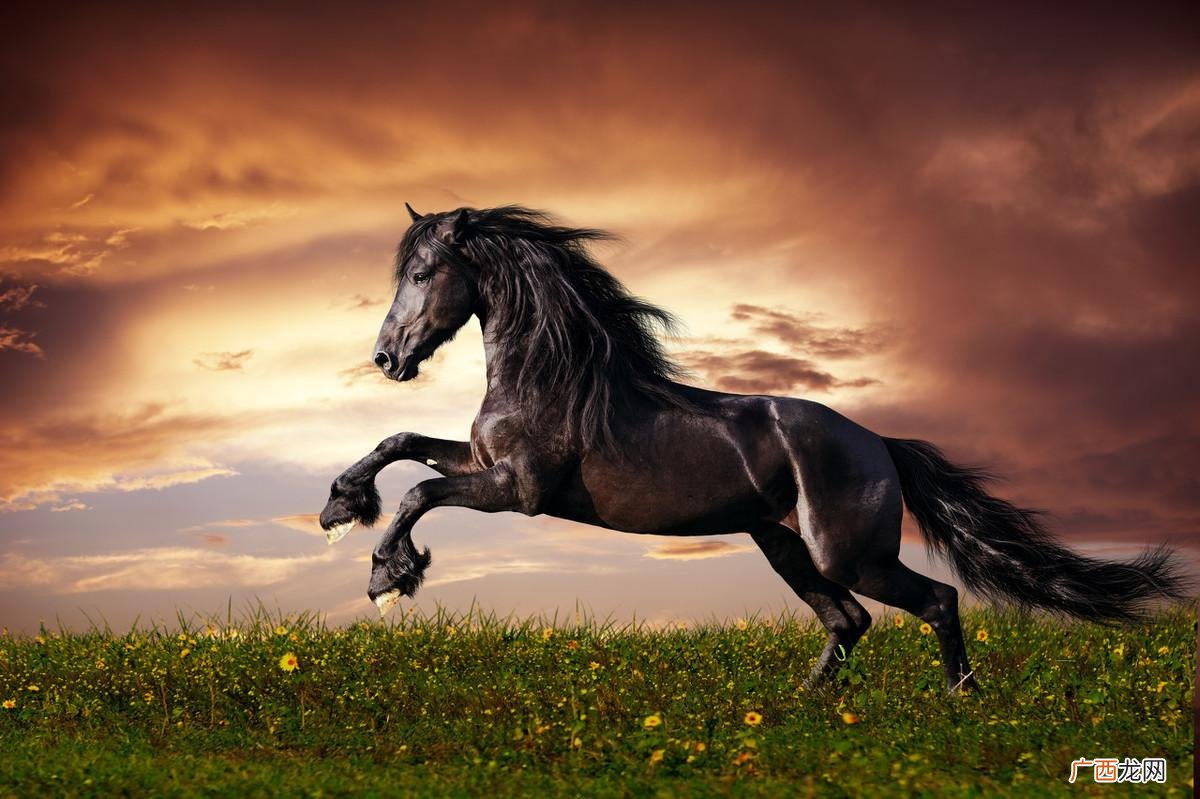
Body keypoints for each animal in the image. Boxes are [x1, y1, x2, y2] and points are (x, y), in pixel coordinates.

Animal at [318, 204, 1187, 692]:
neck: (553, 376)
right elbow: (401, 444)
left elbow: (419, 492)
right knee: (848, 621)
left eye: (425, 273)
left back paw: (960, 699)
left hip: (847, 551)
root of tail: (880, 443)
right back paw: (802, 707)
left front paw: (388, 575)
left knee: (931, 600)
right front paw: (339, 506)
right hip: (782, 543)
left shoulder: (519, 489)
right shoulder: (485, 465)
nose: (387, 358)